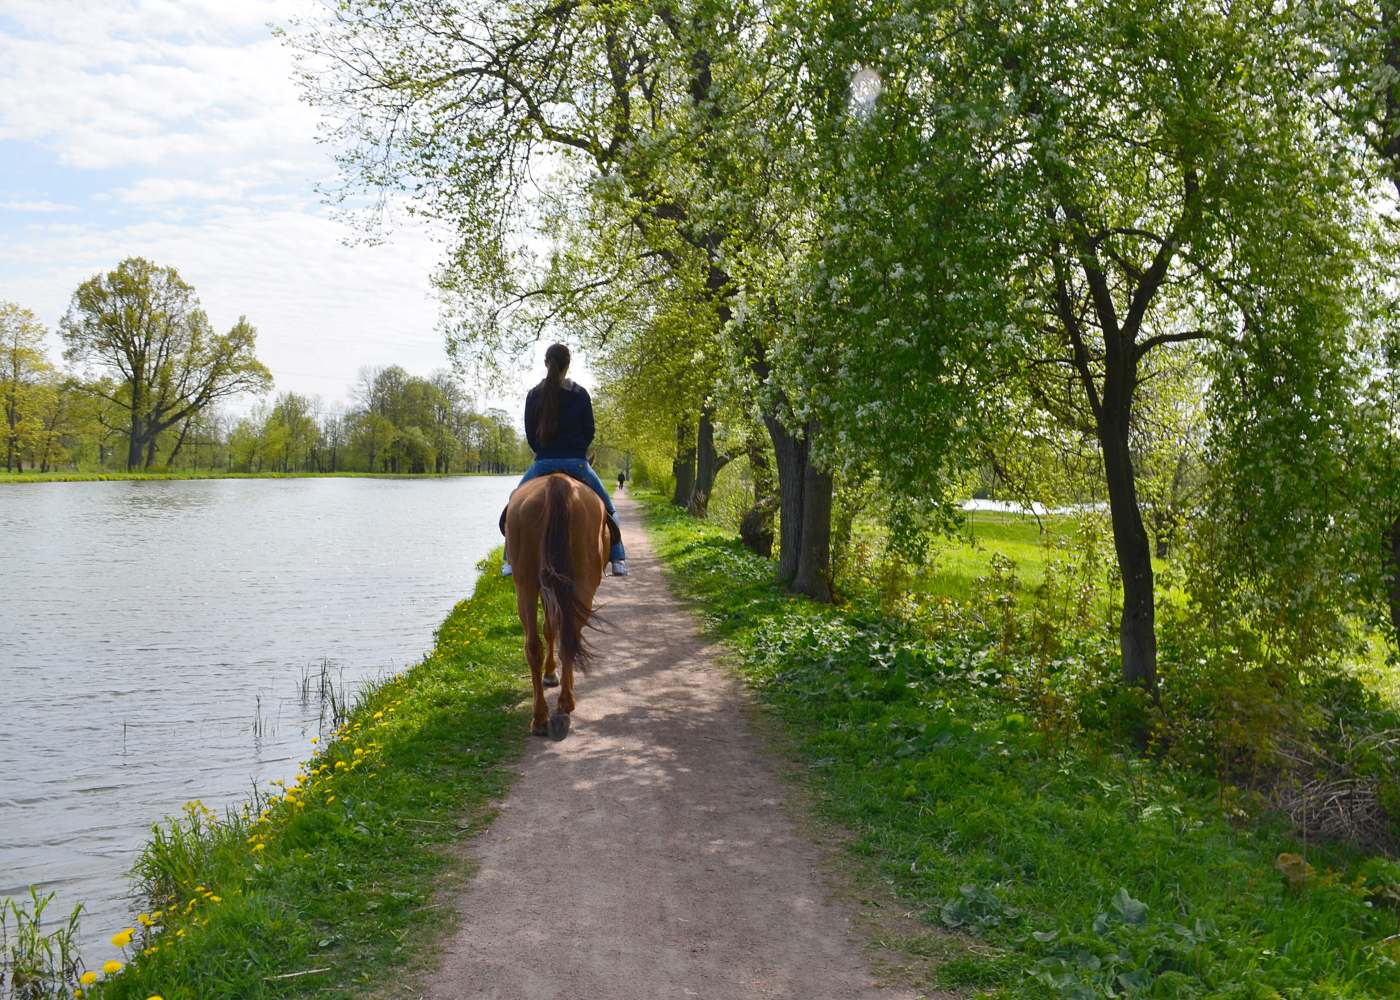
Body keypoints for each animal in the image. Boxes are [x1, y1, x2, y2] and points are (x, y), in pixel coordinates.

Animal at [506, 470, 610, 733]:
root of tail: (557, 482)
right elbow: (553, 628)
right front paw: (553, 674)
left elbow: (549, 628)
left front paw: (551, 673)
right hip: (582, 584)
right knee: (568, 637)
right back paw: (565, 702)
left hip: (526, 585)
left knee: (534, 645)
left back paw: (540, 717)